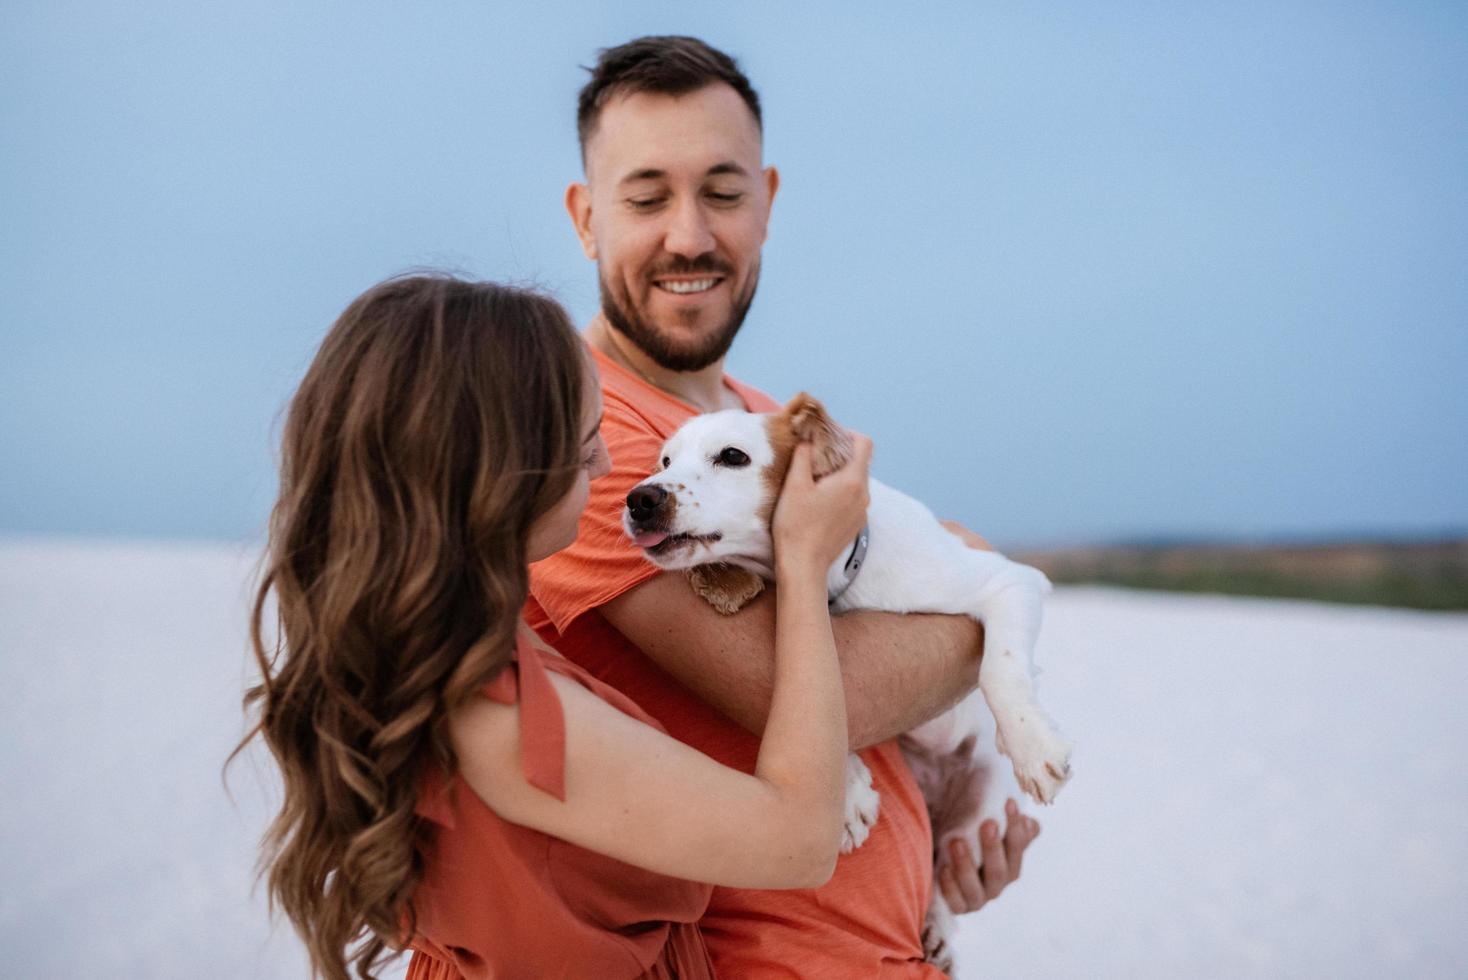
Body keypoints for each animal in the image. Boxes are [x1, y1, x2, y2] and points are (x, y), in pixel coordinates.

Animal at [619, 393, 1068, 974]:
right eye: (665, 461)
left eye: (733, 456)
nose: (638, 499)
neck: (840, 581)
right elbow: (834, 704)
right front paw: (850, 791)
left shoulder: (1011, 580)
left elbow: (1001, 664)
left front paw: (1033, 746)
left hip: (979, 814)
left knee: (946, 878)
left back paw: (940, 930)